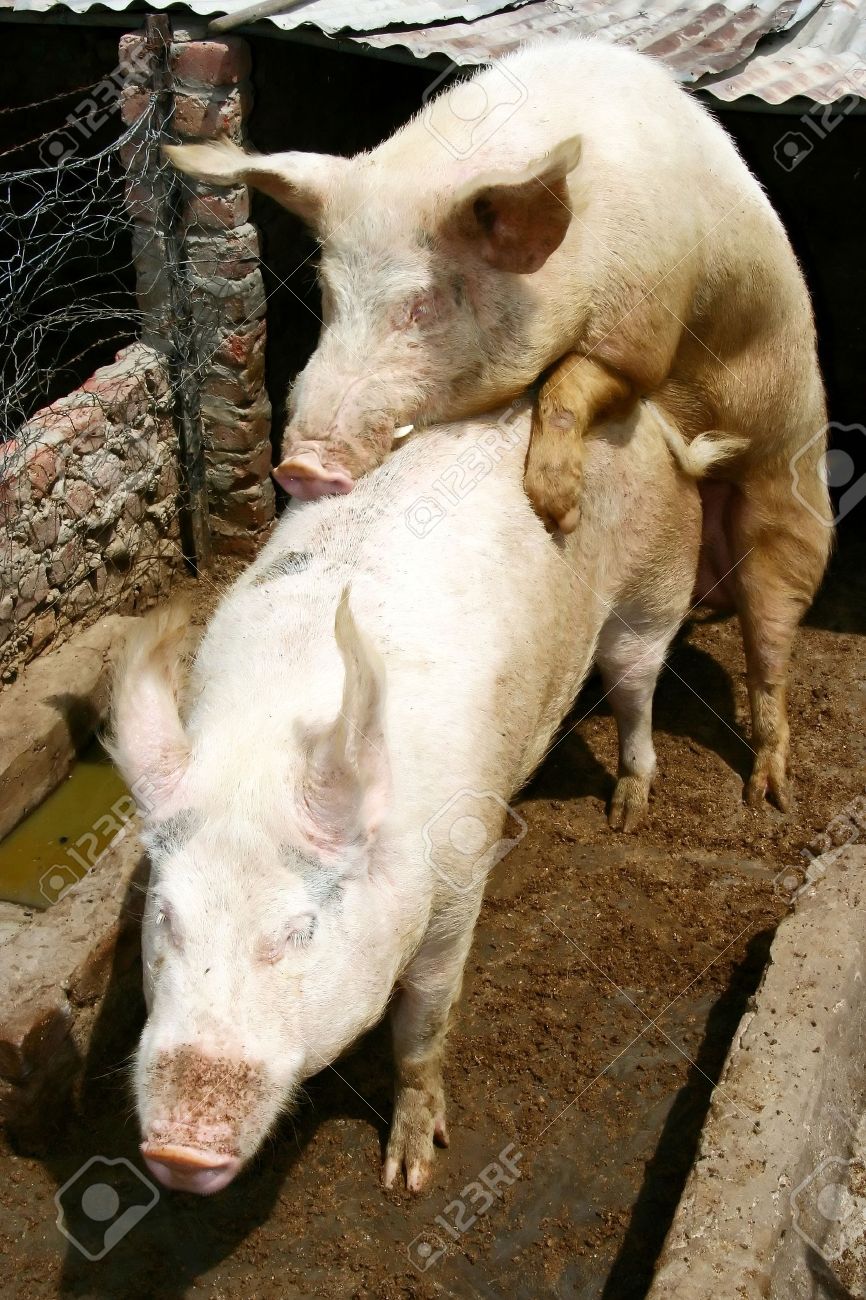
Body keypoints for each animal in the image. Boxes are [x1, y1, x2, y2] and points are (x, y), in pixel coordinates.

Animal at [111, 398, 733, 1195]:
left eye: (299, 930)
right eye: (165, 917)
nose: (180, 1155)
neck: (271, 744)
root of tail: (654, 420)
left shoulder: (456, 899)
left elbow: (422, 1030)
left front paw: (408, 1175)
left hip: (654, 587)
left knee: (637, 687)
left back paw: (627, 809)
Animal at [165, 36, 832, 812]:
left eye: (420, 306)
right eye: (328, 295)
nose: (300, 466)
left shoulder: (647, 329)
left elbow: (578, 380)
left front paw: (554, 509)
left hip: (789, 502)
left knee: (771, 643)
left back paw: (769, 793)